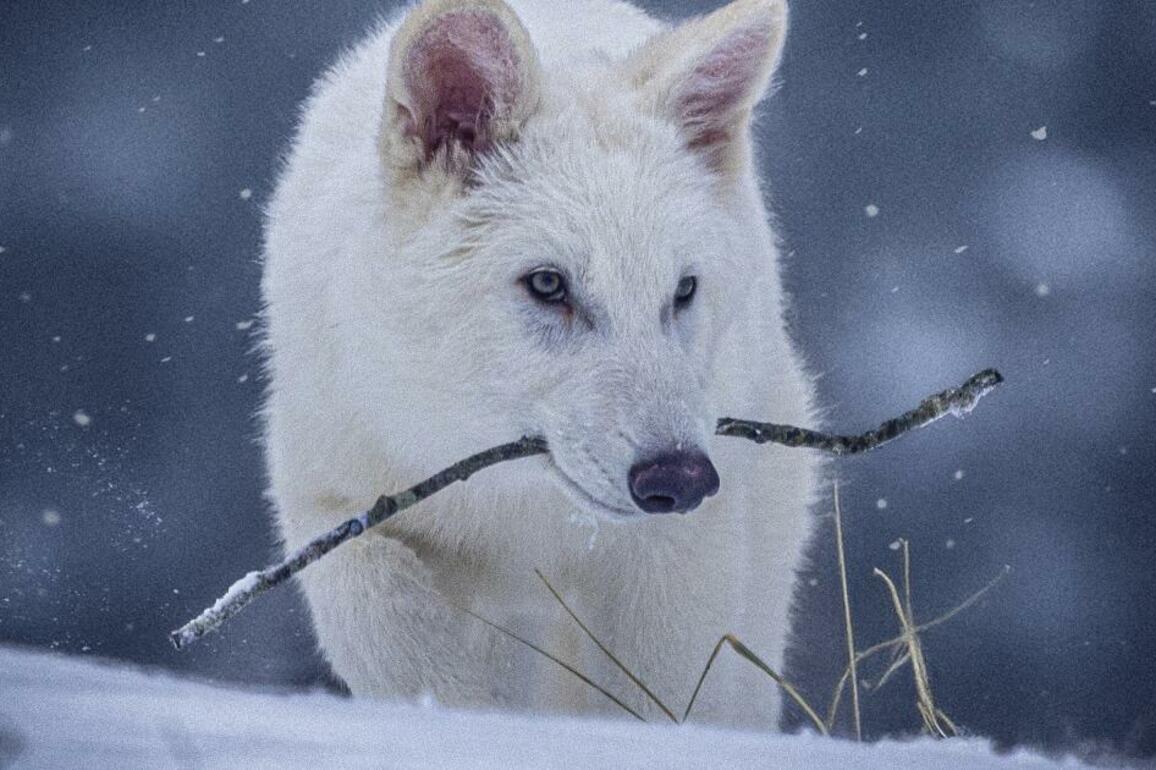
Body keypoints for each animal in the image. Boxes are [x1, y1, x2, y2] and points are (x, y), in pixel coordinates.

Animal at [261, 0, 820, 728]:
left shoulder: (676, 556)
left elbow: (655, 695)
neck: (519, 502)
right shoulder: (334, 503)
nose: (680, 477)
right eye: (548, 284)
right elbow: (395, 631)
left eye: (682, 290)